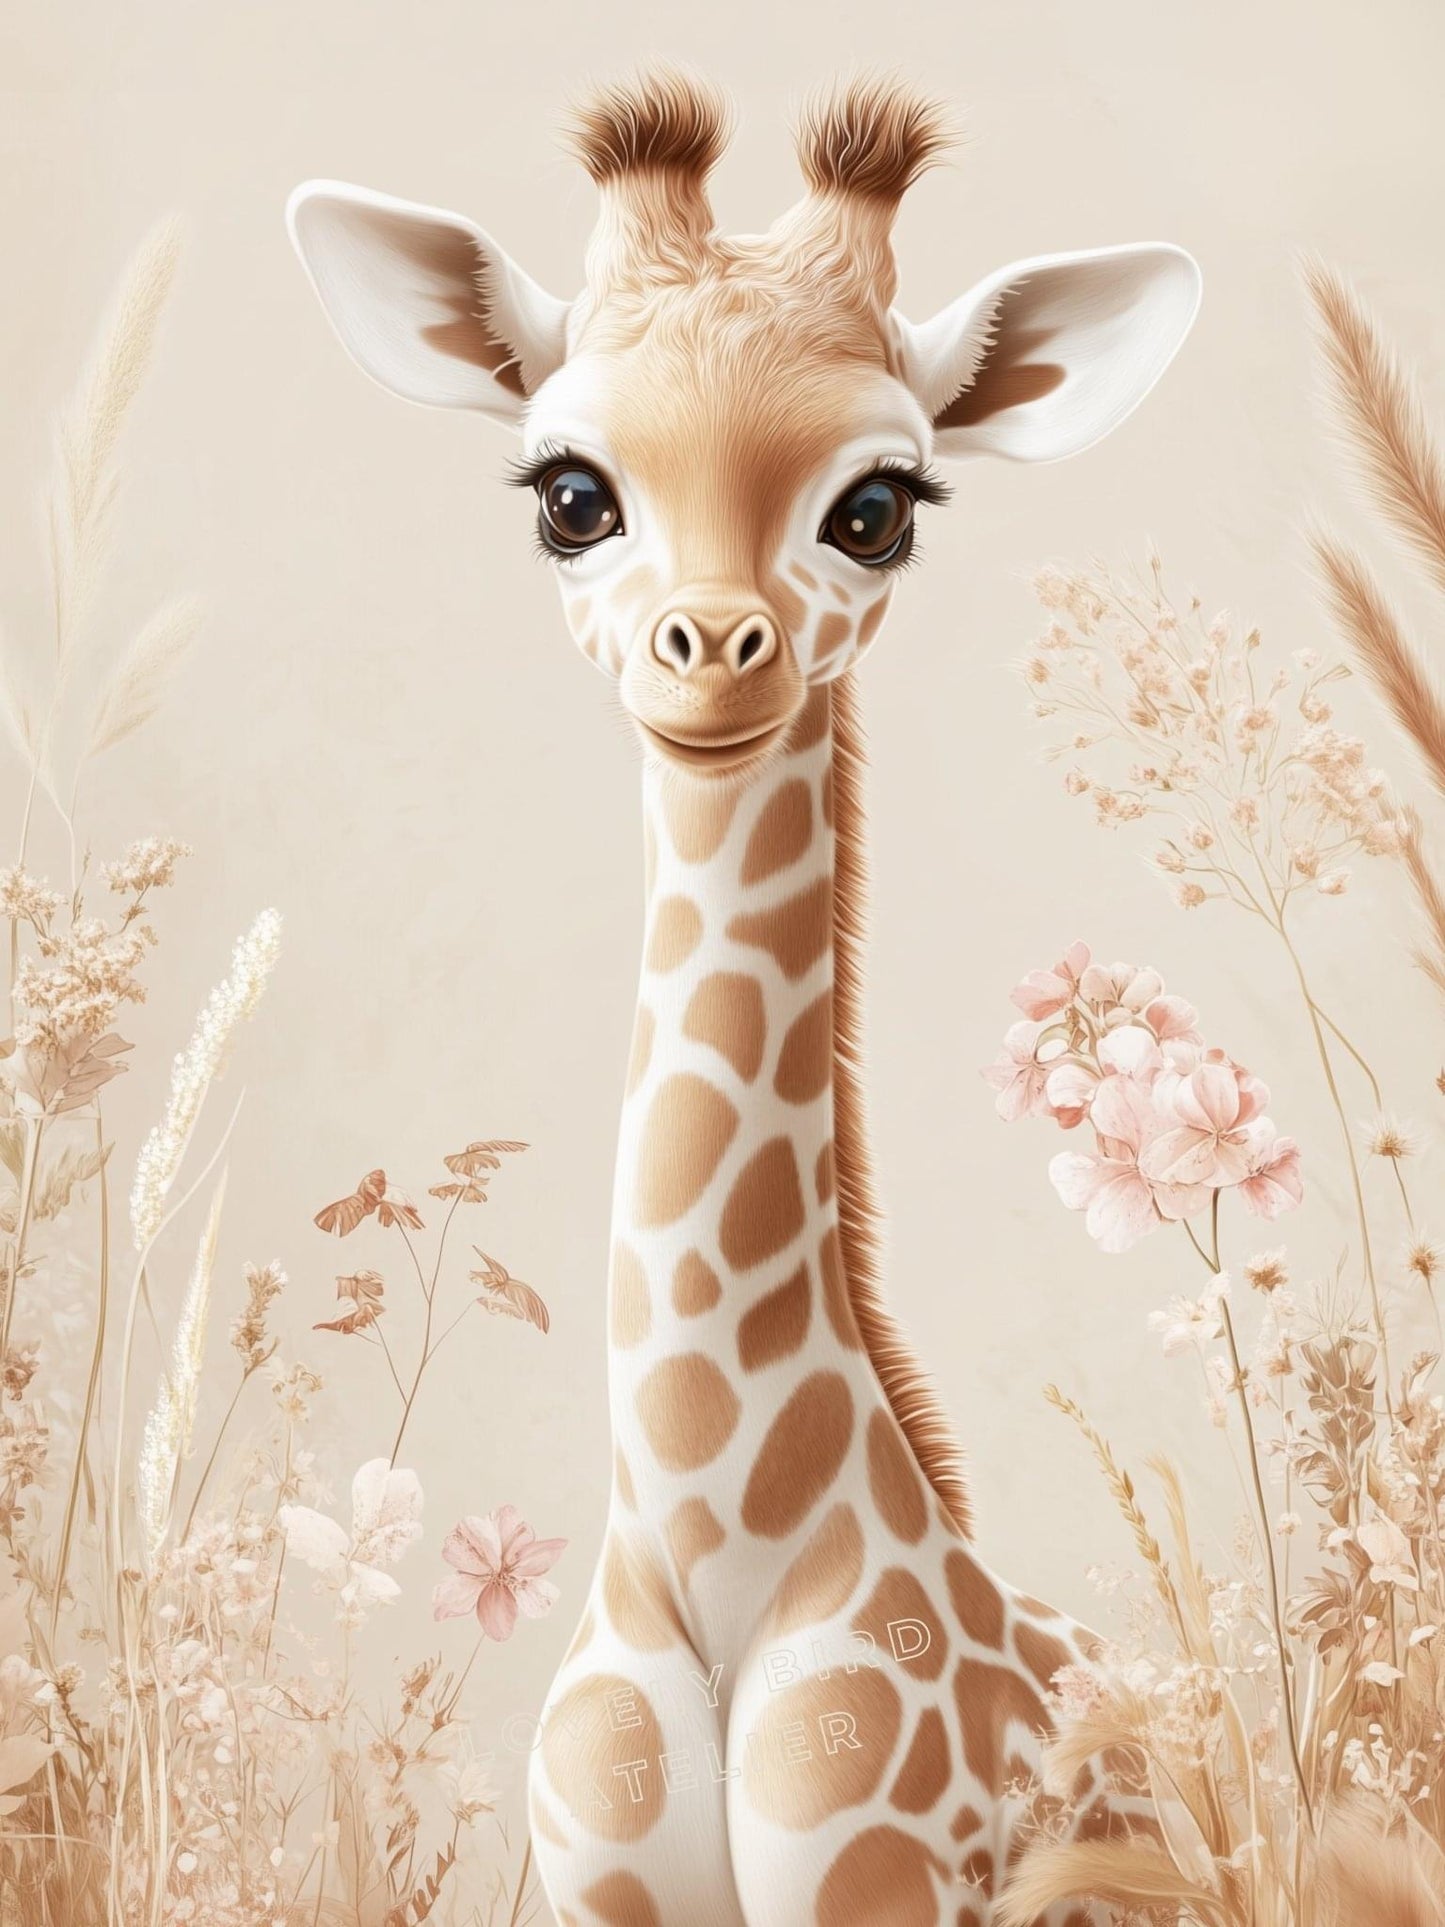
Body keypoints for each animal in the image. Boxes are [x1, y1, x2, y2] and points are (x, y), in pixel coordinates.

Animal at [288, 70, 1200, 1926]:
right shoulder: (597, 1885)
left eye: (879, 504)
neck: (713, 1561)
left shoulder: (880, 1884)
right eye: (572, 491)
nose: (712, 652)